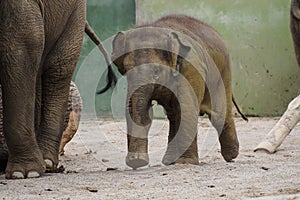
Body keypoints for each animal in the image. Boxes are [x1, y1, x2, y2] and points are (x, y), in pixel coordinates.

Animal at [111, 14, 243, 169]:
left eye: (157, 71)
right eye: (126, 70)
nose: (136, 162)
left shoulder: (191, 67)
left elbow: (186, 108)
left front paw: (186, 162)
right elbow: (135, 109)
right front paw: (137, 161)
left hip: (222, 73)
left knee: (218, 114)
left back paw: (231, 155)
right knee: (173, 115)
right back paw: (169, 161)